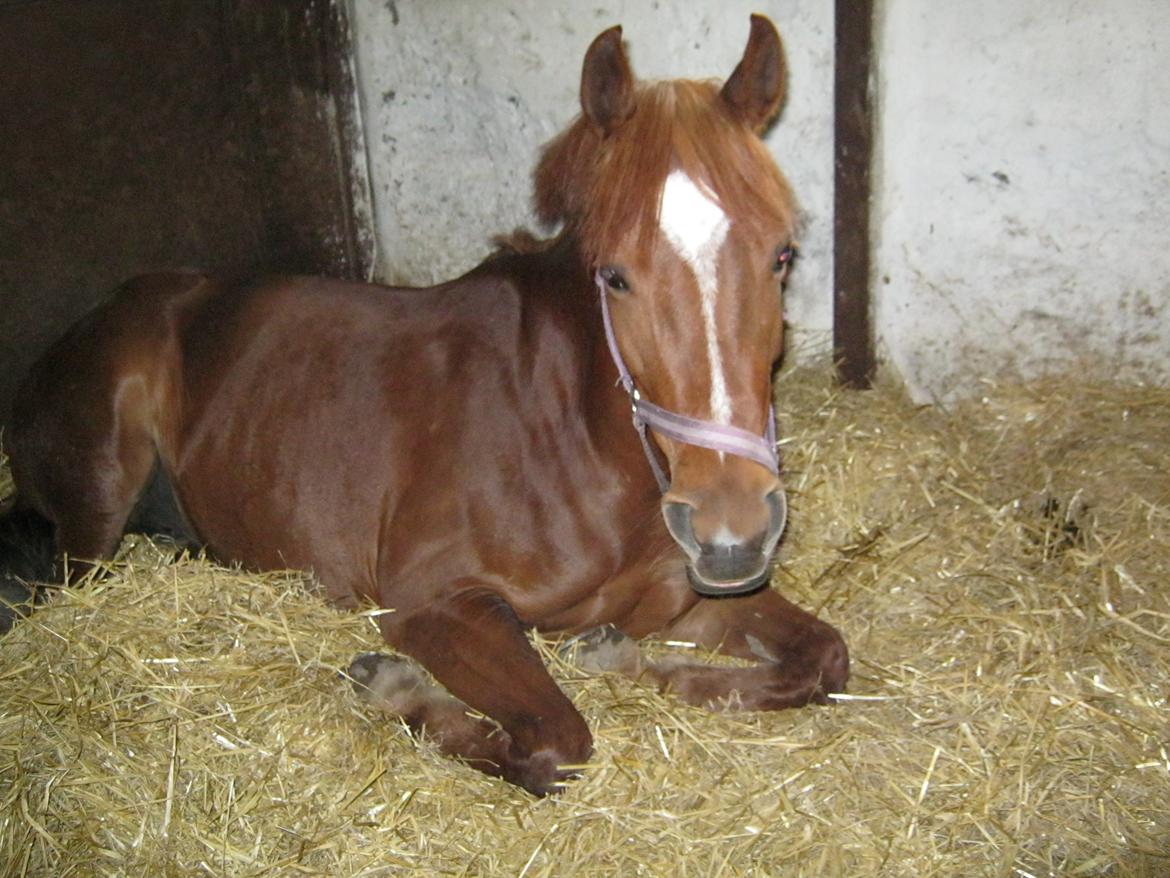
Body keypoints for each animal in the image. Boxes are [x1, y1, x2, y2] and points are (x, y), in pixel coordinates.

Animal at [0, 15, 851, 796]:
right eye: (616, 276)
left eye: (781, 256)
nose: (732, 531)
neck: (571, 436)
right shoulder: (432, 604)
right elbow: (556, 744)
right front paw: (394, 685)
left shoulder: (681, 601)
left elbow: (823, 658)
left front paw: (620, 658)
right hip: (98, 508)